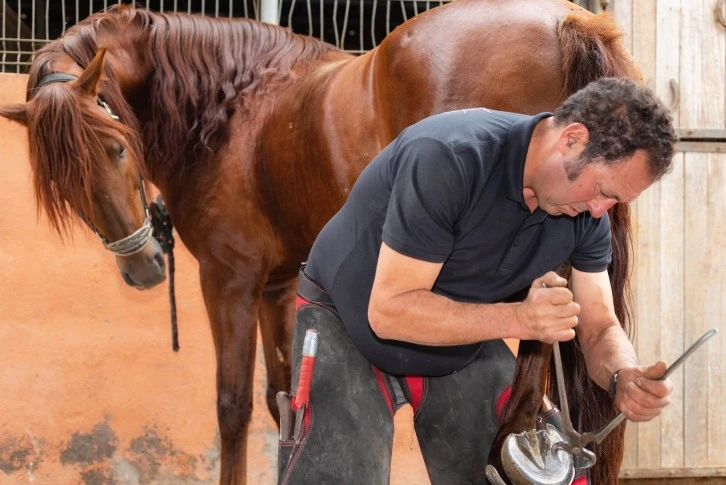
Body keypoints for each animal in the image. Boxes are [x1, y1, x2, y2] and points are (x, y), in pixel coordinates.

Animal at [1, 1, 644, 482]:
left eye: (117, 147)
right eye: (62, 184)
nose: (142, 269)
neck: (231, 111)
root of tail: (567, 20)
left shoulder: (228, 281)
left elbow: (232, 407)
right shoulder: (278, 287)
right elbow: (283, 399)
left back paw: (516, 429)